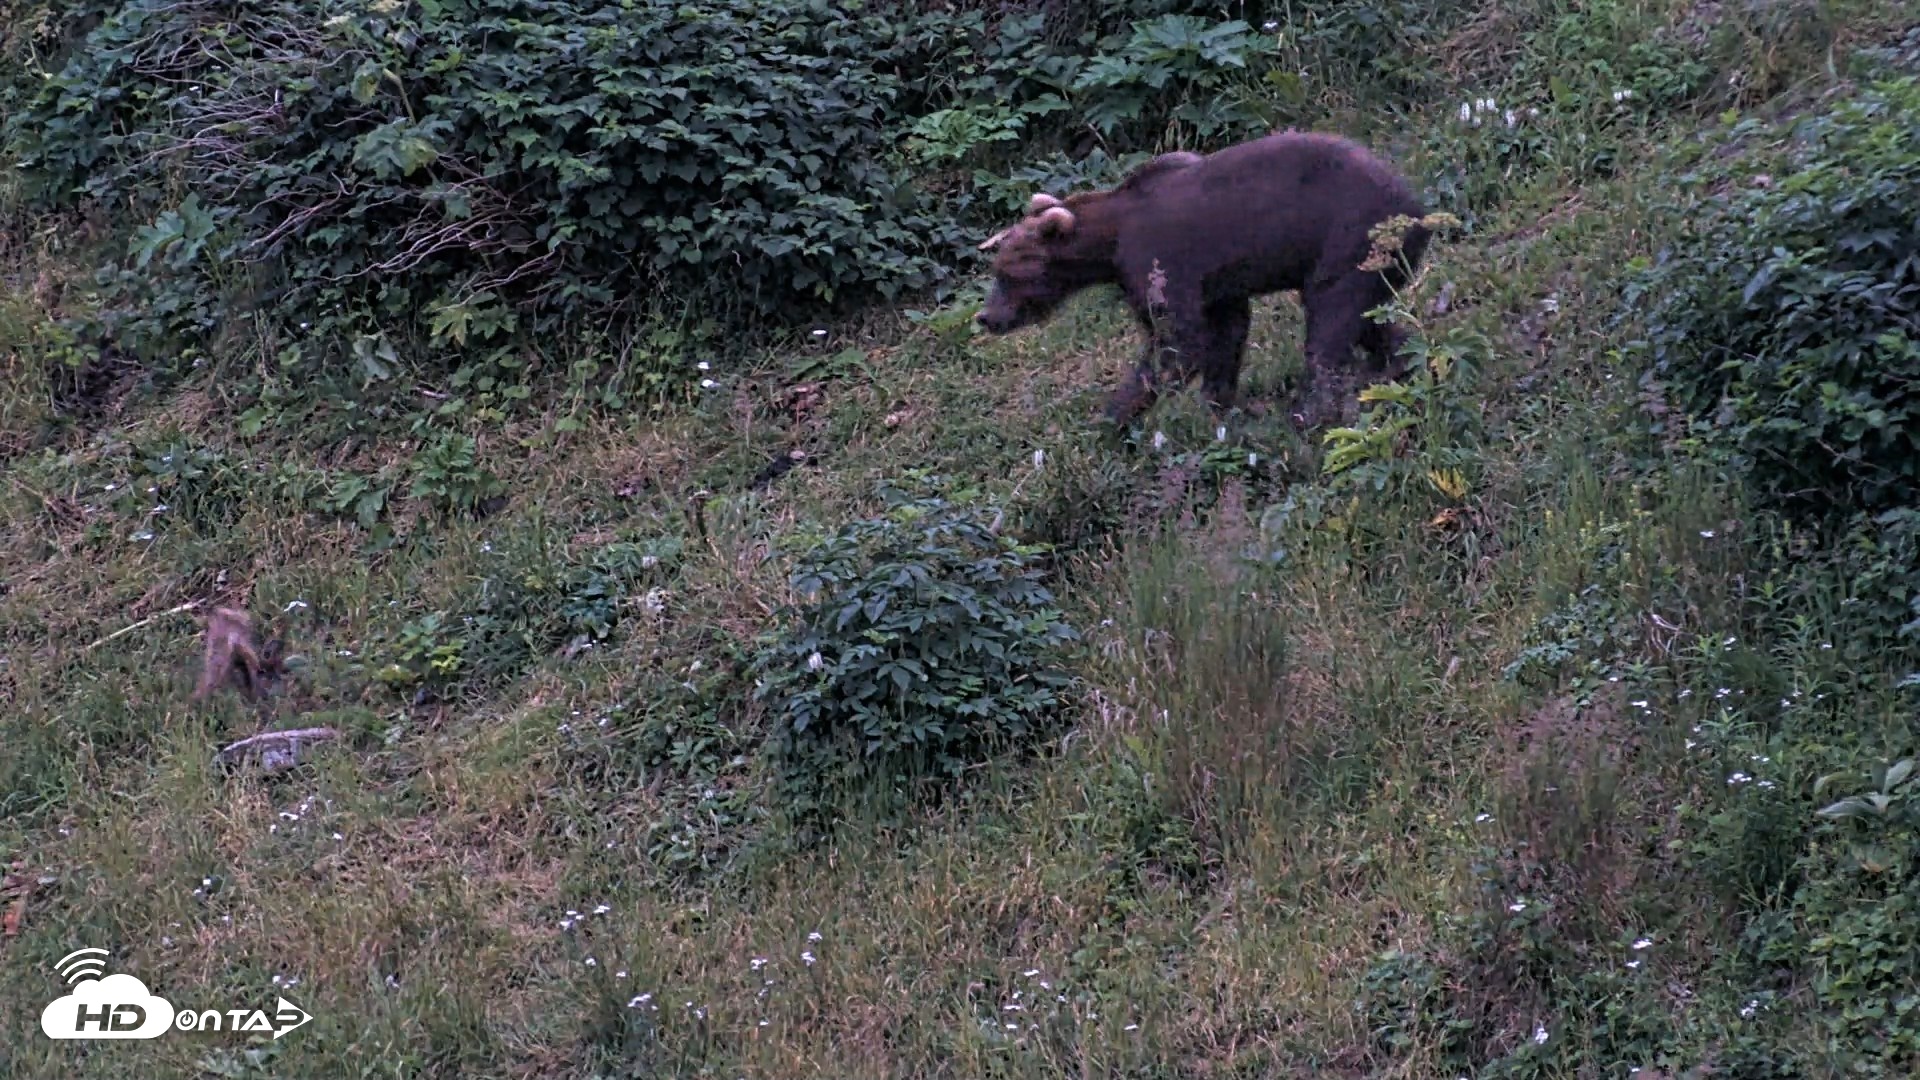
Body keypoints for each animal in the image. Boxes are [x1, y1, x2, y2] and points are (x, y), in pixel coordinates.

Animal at [974, 131, 1432, 429]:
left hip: (1351, 238)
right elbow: (1226, 332)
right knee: (1364, 315)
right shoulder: (1215, 281)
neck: (1110, 240)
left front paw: (1113, 416)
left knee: (1329, 322)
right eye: (996, 272)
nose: (987, 317)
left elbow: (1178, 341)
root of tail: (1418, 210)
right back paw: (1393, 363)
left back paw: (1308, 412)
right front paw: (1219, 403)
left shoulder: (1160, 262)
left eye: (1008, 274)